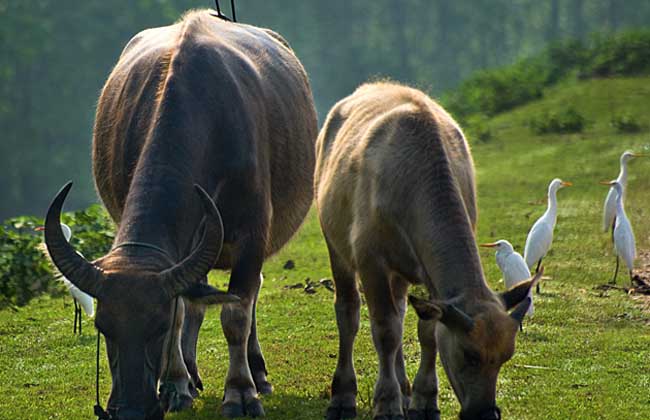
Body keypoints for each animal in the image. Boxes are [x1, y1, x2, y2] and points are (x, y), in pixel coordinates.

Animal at [43, 9, 316, 420]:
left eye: (156, 326)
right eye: (104, 328)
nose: (131, 410)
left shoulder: (252, 234)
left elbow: (235, 314)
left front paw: (241, 392)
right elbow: (186, 310)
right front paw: (175, 385)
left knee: (246, 297)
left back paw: (257, 374)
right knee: (196, 303)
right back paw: (189, 373)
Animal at [316, 82, 536, 420]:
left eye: (505, 357)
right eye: (469, 354)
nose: (485, 413)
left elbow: (428, 331)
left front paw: (424, 399)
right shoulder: (370, 261)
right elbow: (385, 331)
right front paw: (387, 402)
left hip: (400, 271)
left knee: (400, 311)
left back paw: (405, 390)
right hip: (335, 245)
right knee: (349, 313)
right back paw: (344, 395)